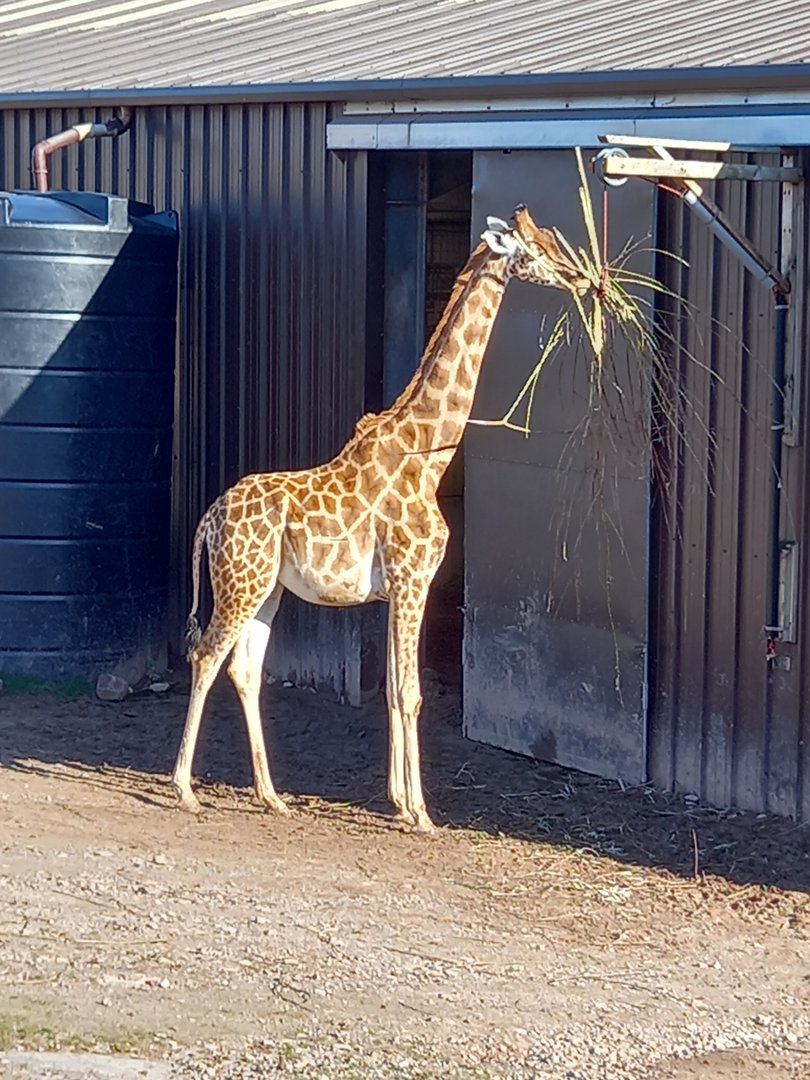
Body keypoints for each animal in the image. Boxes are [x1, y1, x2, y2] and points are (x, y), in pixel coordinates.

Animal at [171, 205, 590, 831]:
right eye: (536, 250)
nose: (583, 279)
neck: (428, 453)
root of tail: (210, 517)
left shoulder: (396, 589)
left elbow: (394, 689)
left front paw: (399, 802)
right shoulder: (414, 579)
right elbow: (411, 692)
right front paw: (423, 813)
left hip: (266, 589)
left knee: (244, 669)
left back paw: (271, 795)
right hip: (241, 587)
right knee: (205, 656)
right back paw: (184, 788)